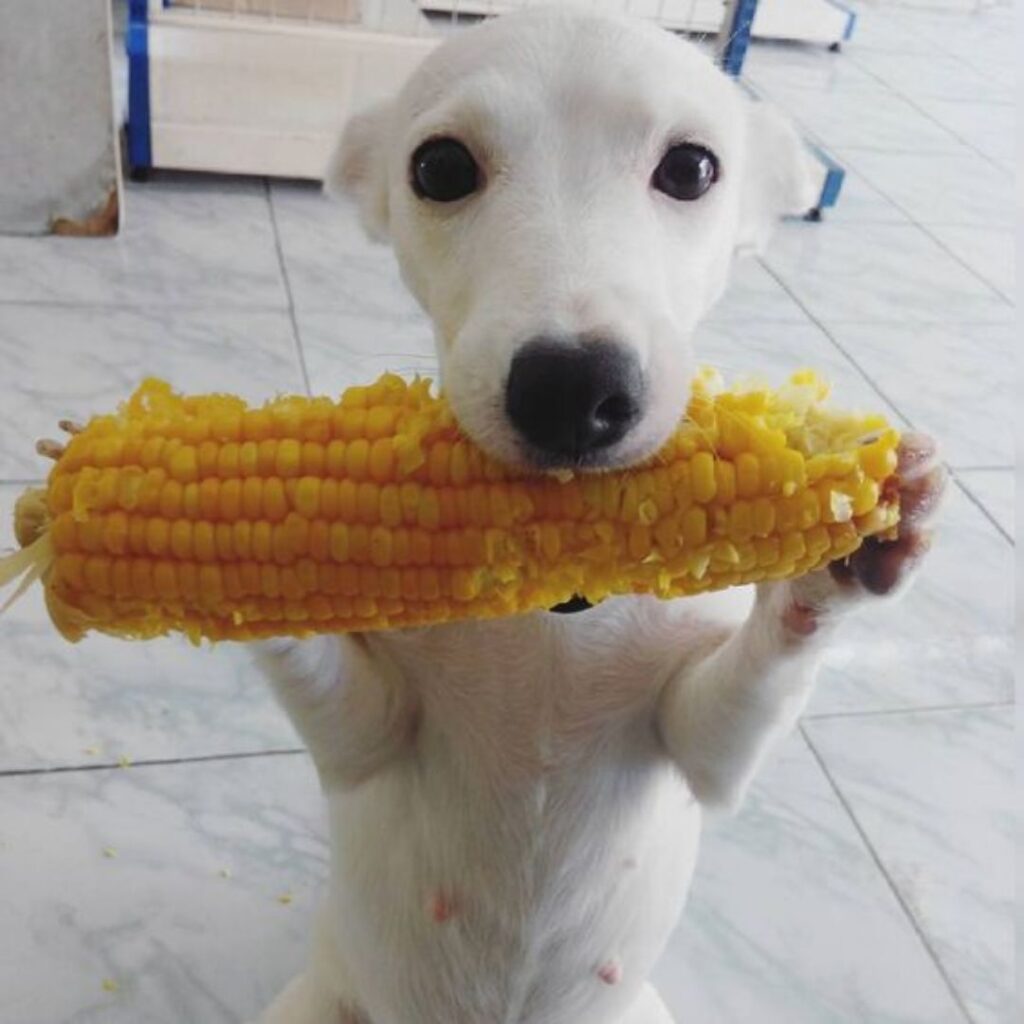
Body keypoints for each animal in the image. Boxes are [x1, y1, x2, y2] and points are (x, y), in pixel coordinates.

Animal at [253, 9, 942, 1024]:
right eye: (440, 167)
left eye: (692, 167)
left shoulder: (700, 747)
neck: (555, 608)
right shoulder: (364, 740)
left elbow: (753, 685)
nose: (572, 390)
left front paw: (841, 553)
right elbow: (334, 694)